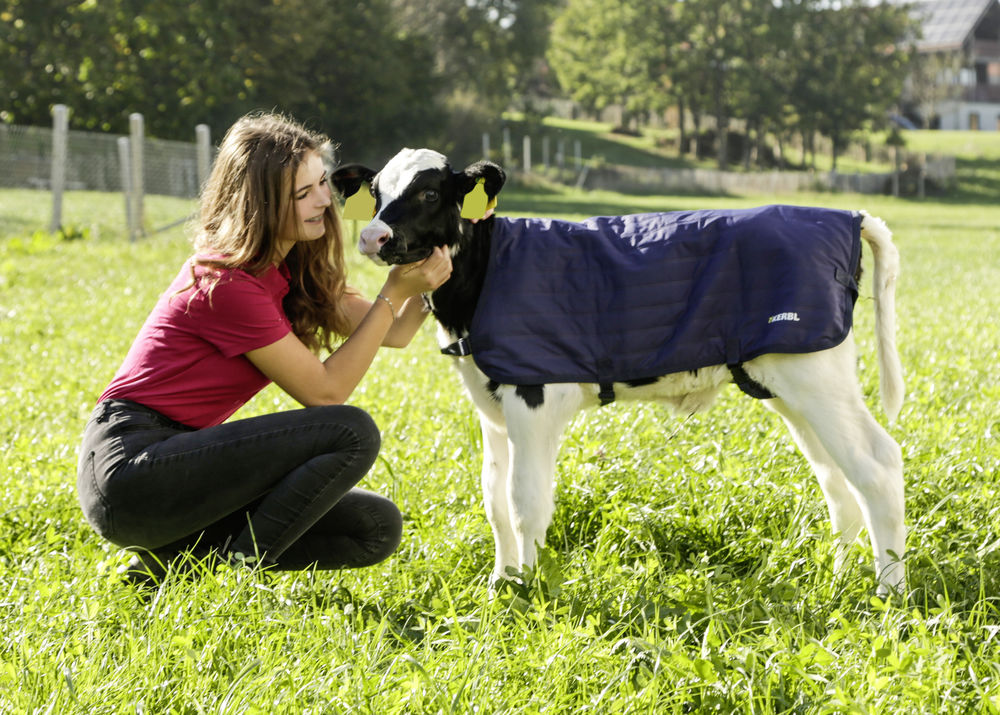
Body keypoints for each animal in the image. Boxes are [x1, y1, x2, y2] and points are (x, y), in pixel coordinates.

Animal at [336, 148, 908, 596]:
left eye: (430, 192)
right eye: (376, 191)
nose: (372, 236)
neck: (486, 275)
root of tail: (846, 215)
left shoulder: (532, 396)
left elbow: (526, 501)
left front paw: (531, 590)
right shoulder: (491, 405)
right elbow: (494, 498)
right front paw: (503, 581)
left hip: (818, 377)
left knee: (876, 465)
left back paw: (889, 591)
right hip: (788, 388)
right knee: (836, 478)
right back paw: (836, 575)